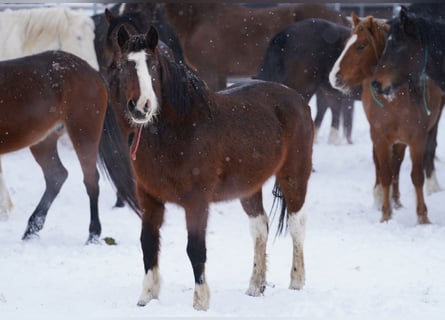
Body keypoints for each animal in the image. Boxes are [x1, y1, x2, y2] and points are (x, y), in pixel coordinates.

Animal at [0, 50, 107, 241]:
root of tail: (93, 72)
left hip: (84, 132)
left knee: (90, 180)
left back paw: (93, 235)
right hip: (43, 141)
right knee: (56, 175)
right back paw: (31, 229)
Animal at [99, 26, 314, 310]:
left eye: (153, 65)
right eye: (124, 65)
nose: (141, 106)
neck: (178, 130)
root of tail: (298, 98)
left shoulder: (197, 201)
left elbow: (195, 248)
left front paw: (200, 301)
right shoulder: (149, 199)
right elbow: (148, 243)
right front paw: (146, 297)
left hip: (294, 176)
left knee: (297, 224)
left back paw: (297, 281)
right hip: (249, 187)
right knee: (260, 227)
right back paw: (255, 286)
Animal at [328, 13, 442, 225]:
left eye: (361, 46)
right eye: (347, 43)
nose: (334, 78)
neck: (393, 96)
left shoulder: (417, 138)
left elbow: (416, 176)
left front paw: (422, 216)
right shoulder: (380, 136)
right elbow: (386, 173)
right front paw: (385, 214)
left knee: (400, 161)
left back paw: (397, 199)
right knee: (384, 165)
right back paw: (382, 196)